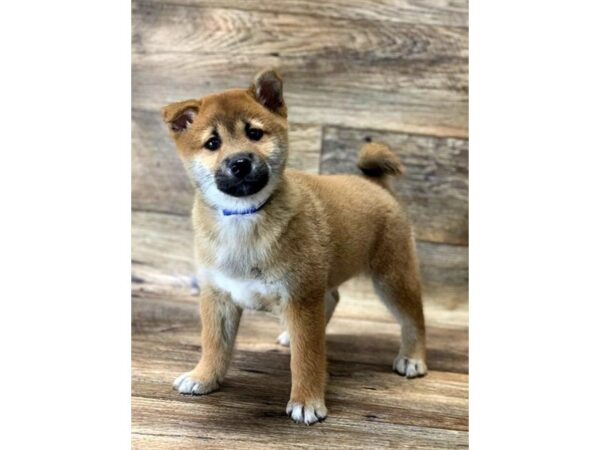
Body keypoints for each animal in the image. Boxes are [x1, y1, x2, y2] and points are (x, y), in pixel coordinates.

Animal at [162, 69, 426, 426]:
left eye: (254, 133)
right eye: (212, 143)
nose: (240, 162)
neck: (244, 216)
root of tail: (374, 184)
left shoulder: (301, 298)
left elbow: (307, 357)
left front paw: (307, 400)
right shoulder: (218, 296)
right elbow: (214, 345)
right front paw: (204, 377)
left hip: (392, 276)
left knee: (413, 318)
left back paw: (413, 357)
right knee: (332, 297)